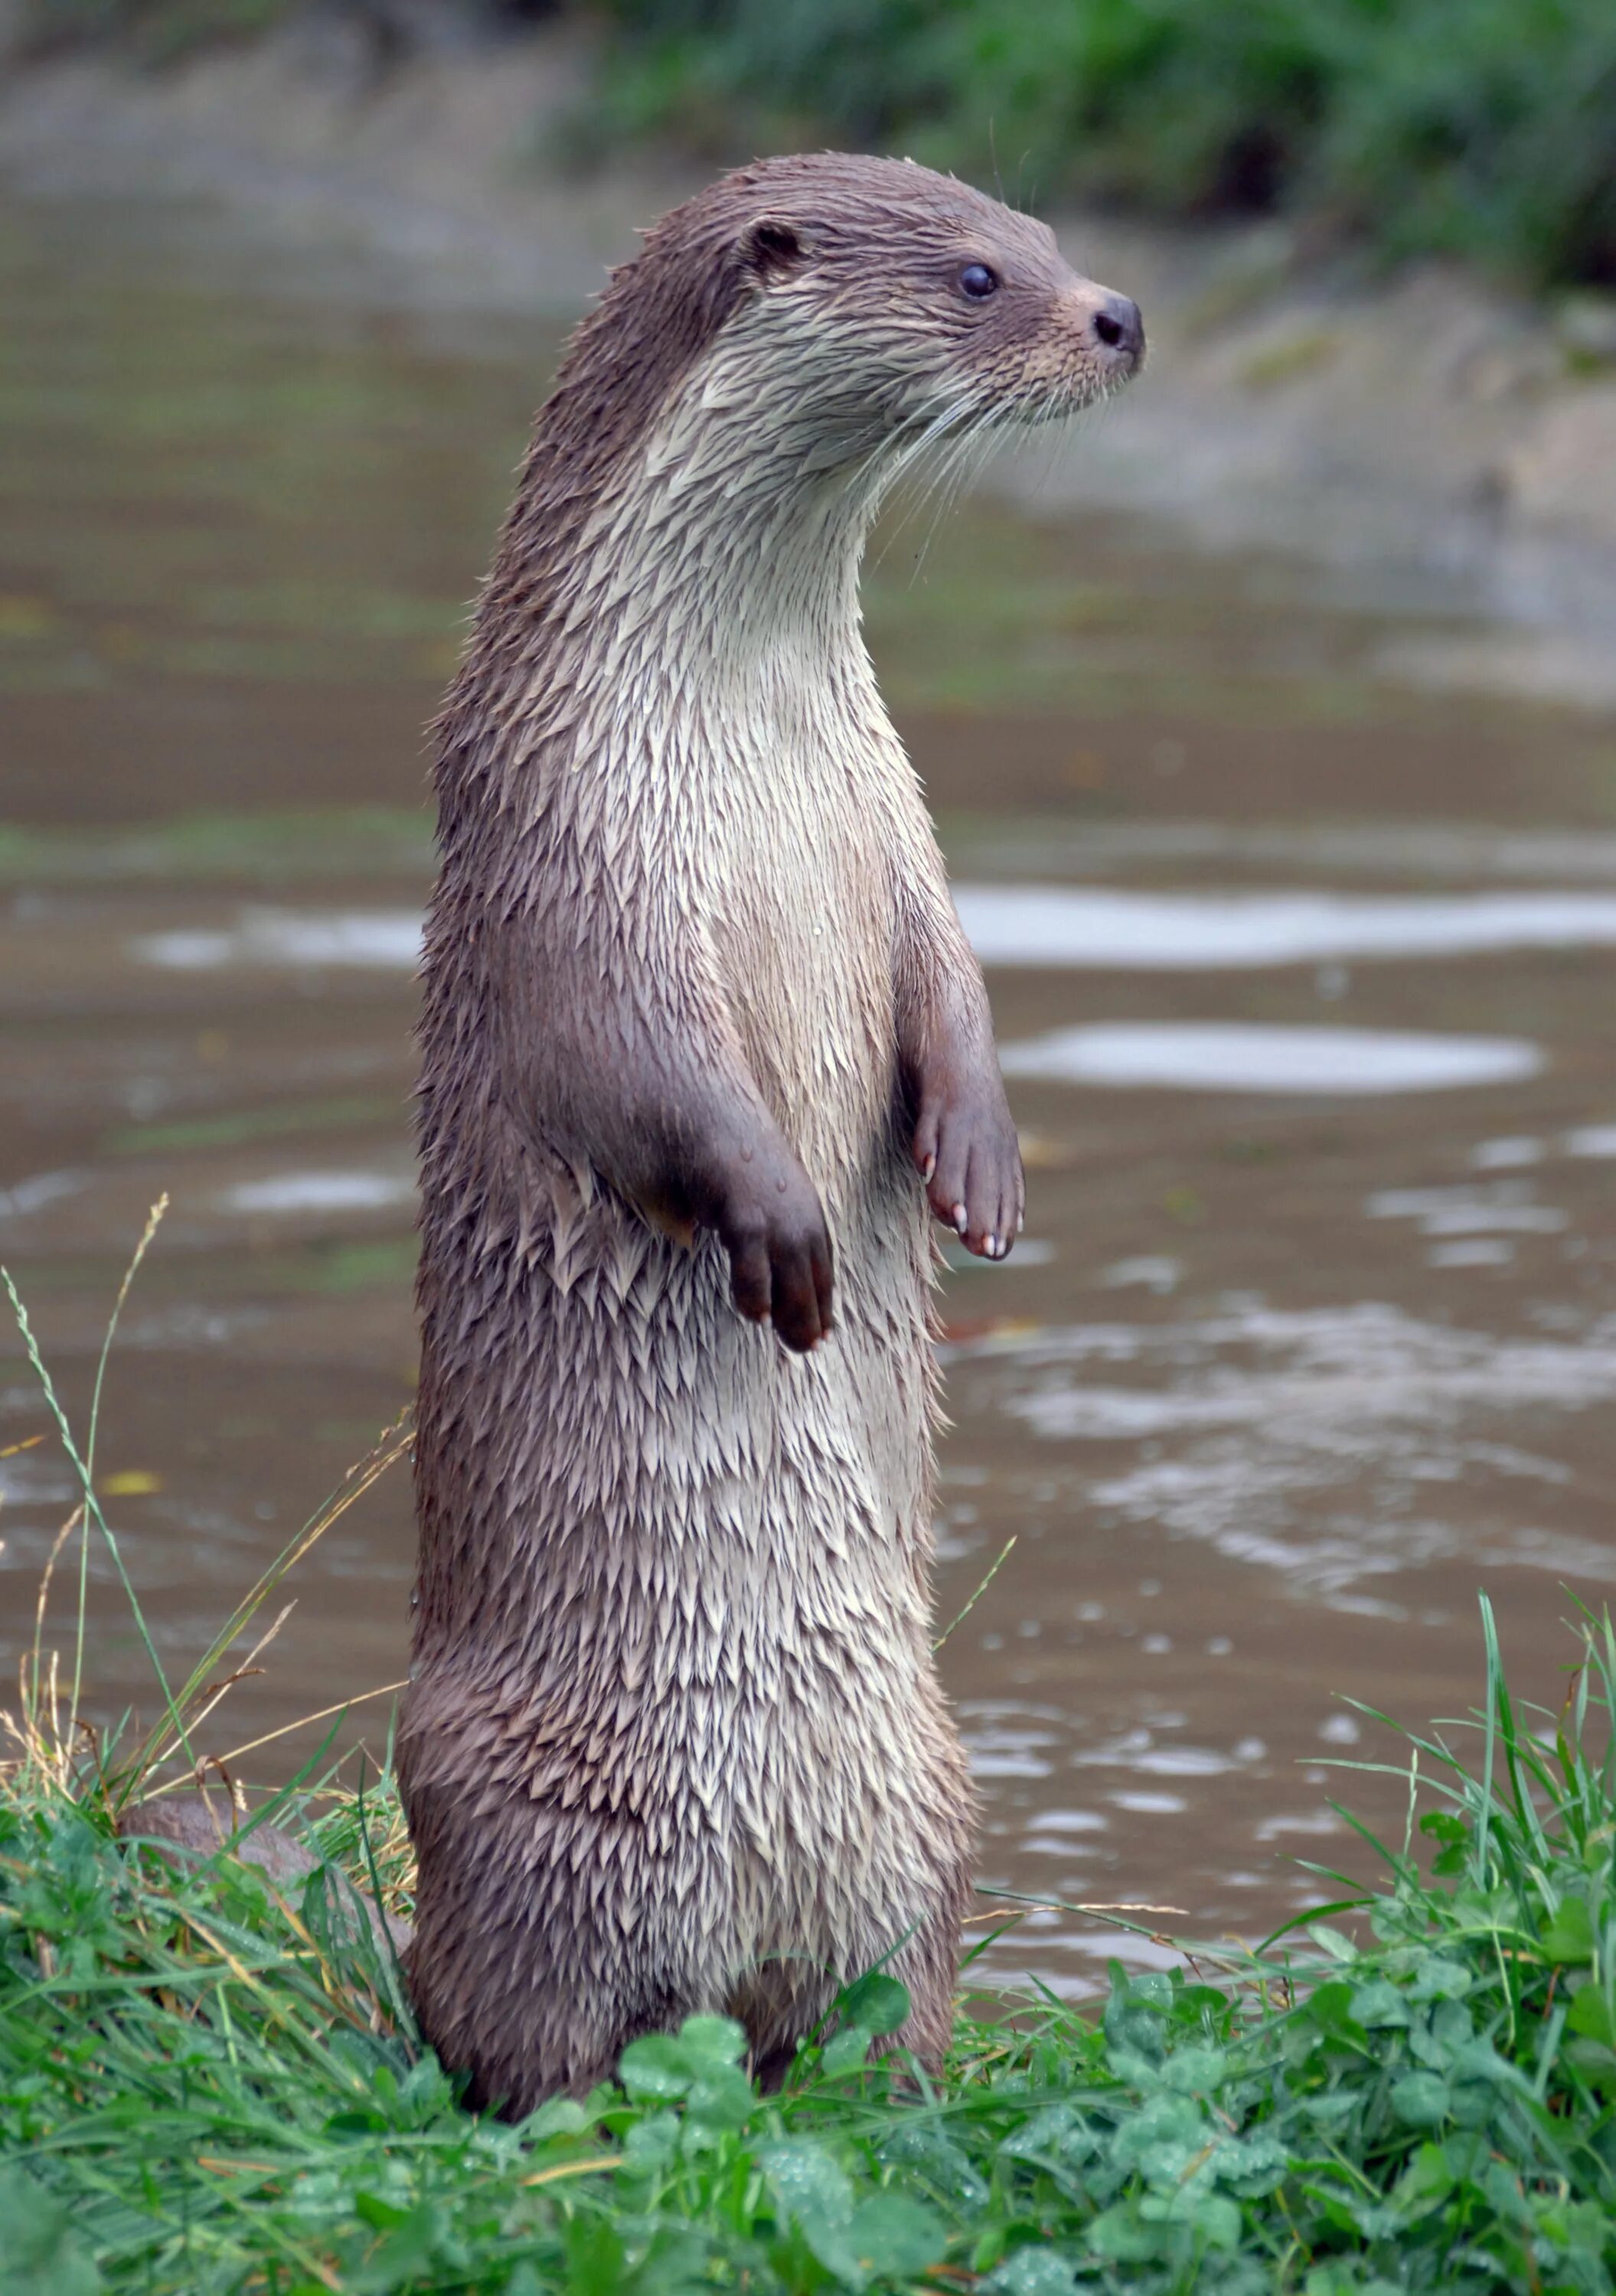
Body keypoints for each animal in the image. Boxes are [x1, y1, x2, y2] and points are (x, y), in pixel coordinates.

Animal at [399, 152, 1143, 2103]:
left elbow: (950, 987)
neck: (739, 739)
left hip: (920, 1806)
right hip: (510, 1813)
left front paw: (979, 1169)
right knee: (510, 2034)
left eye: (1044, 236)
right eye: (975, 278)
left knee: (879, 2011)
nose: (1117, 314)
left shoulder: (893, 824)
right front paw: (788, 1235)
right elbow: (640, 1076)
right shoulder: (570, 862)